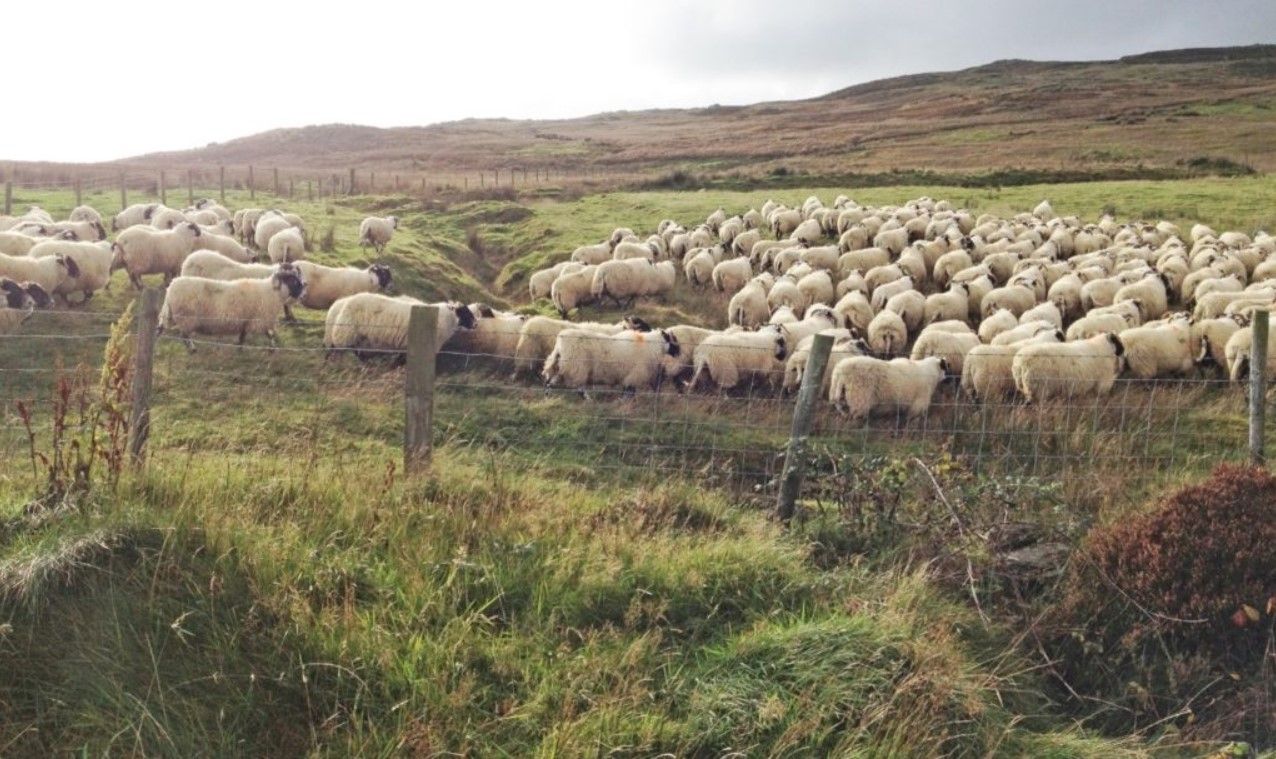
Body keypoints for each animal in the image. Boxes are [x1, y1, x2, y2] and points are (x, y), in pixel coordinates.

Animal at [159, 268, 306, 349]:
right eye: (292, 280)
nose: (305, 287)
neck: (273, 293)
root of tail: (171, 288)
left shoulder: (246, 321)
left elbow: (243, 335)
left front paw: (240, 349)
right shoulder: (259, 319)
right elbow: (268, 335)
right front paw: (273, 348)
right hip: (186, 318)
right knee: (184, 335)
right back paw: (192, 349)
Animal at [543, 328, 682, 392]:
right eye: (673, 339)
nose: (680, 353)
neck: (652, 345)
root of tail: (560, 344)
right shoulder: (634, 376)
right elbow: (629, 393)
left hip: (562, 367)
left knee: (550, 384)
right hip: (577, 369)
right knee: (579, 389)